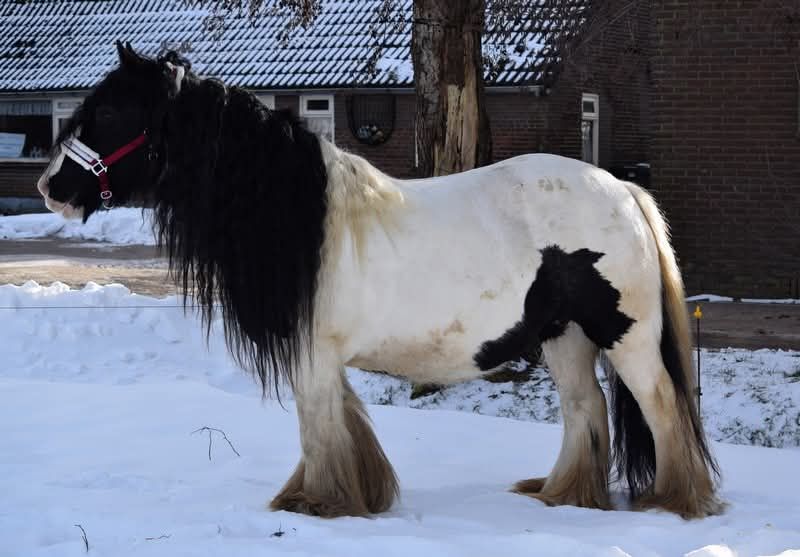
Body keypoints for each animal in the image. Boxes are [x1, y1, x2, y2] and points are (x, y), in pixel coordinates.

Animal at [37, 43, 723, 519]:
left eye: (111, 110)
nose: (51, 187)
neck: (298, 212)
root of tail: (626, 190)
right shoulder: (320, 352)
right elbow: (345, 422)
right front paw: (356, 495)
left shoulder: (312, 351)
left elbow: (318, 427)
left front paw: (316, 505)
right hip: (564, 336)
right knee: (587, 407)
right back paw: (562, 495)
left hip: (624, 335)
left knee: (661, 405)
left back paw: (675, 502)